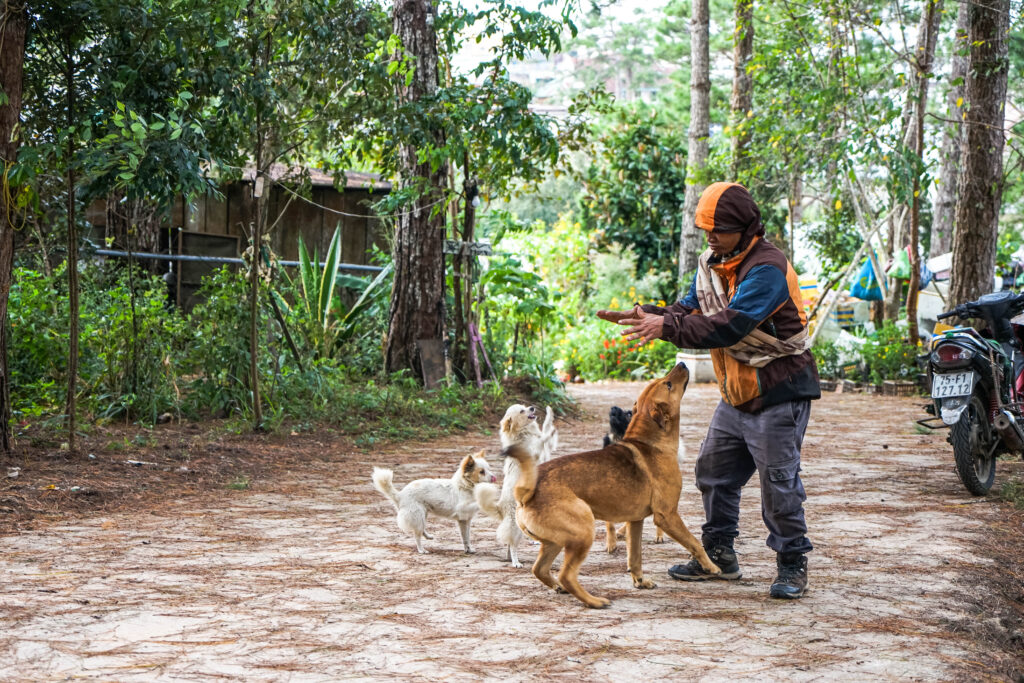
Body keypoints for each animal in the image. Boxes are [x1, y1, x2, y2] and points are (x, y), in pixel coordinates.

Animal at [473, 403, 557, 569]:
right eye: (522, 411)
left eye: (525, 407)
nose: (532, 407)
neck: (522, 434)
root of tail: (500, 507)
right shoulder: (534, 451)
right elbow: (543, 438)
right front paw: (549, 431)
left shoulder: (545, 453)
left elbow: (544, 430)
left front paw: (550, 415)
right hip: (515, 528)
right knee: (512, 545)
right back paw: (515, 562)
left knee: (509, 544)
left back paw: (509, 558)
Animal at [505, 362, 720, 610]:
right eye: (668, 384)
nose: (682, 363)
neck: (649, 442)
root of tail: (526, 493)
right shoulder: (667, 516)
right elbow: (695, 543)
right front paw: (711, 566)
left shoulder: (636, 521)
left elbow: (635, 557)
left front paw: (640, 581)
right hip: (582, 531)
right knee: (566, 575)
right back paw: (594, 601)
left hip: (554, 542)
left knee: (539, 569)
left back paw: (560, 588)